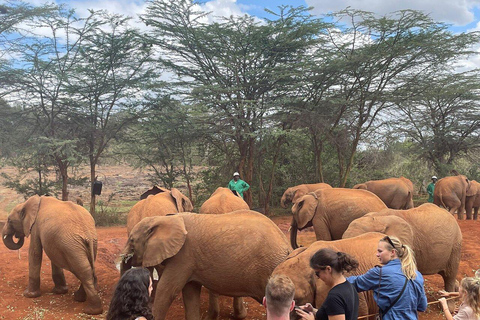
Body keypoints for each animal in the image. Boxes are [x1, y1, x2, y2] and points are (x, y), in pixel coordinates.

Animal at [120, 210, 292, 320]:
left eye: (132, 240)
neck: (163, 219)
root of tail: (287, 245)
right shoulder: (189, 261)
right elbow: (190, 293)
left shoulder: (183, 257)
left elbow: (167, 290)